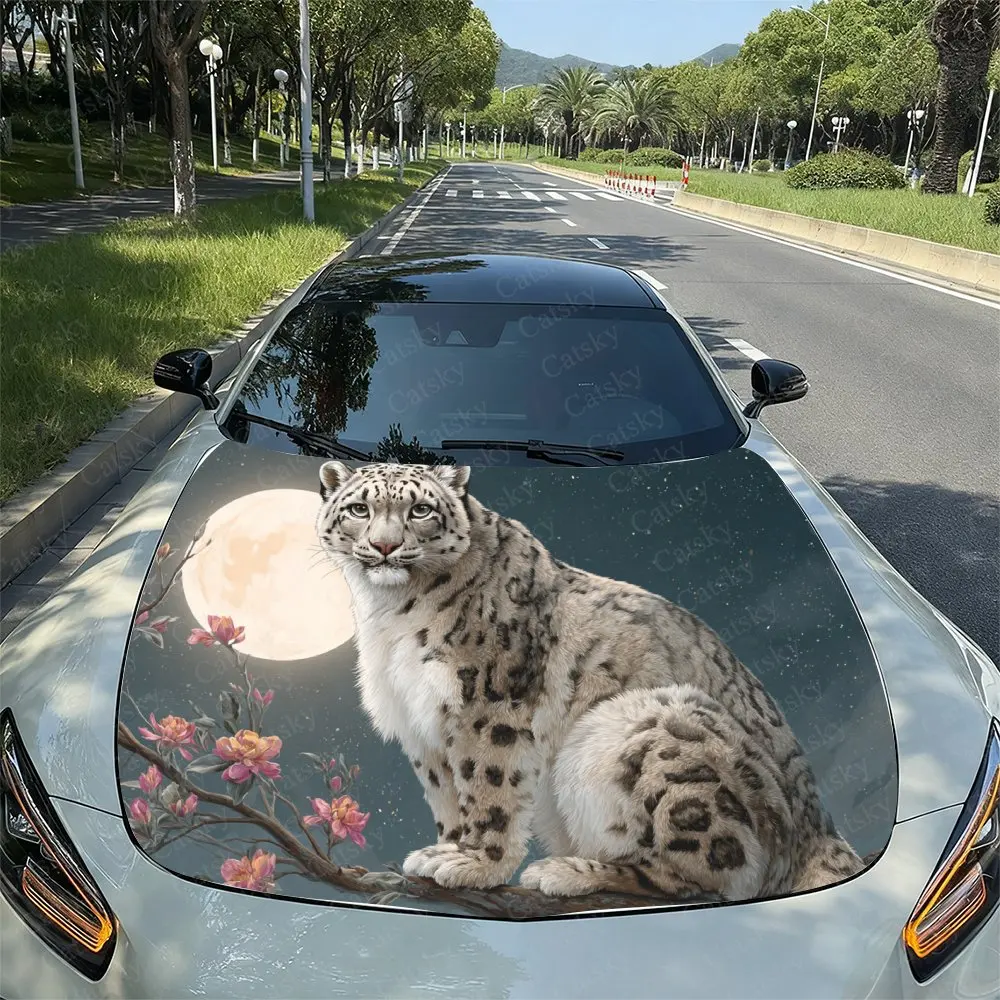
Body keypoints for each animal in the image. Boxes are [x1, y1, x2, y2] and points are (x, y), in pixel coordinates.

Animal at [314, 460, 865, 901]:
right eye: (359, 509)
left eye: (421, 511)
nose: (385, 546)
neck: (390, 613)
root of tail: (819, 827)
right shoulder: (421, 721)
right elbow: (447, 793)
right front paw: (444, 849)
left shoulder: (487, 706)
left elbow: (488, 786)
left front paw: (475, 864)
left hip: (651, 730)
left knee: (701, 874)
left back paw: (568, 872)